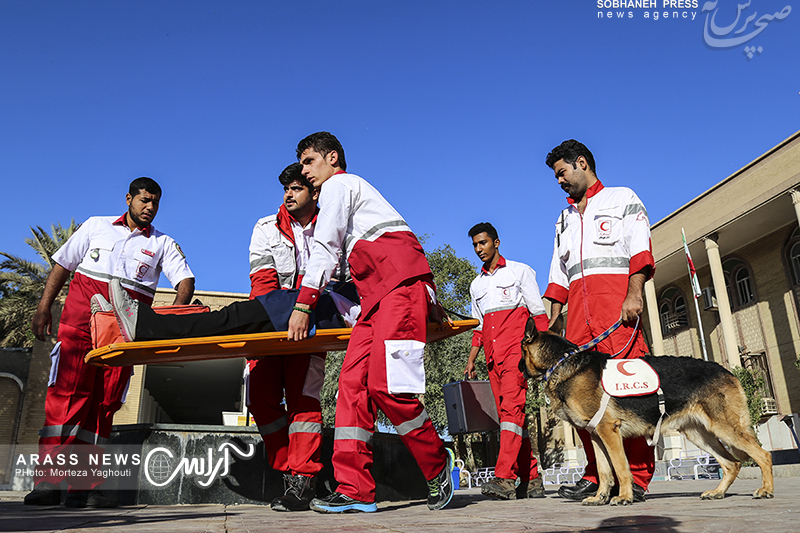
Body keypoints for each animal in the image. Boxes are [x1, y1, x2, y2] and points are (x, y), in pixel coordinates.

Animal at [520, 318, 776, 504]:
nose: (518, 369)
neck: (561, 361)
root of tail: (728, 372)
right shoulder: (596, 436)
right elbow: (604, 471)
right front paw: (600, 498)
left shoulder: (609, 432)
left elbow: (621, 468)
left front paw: (624, 497)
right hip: (699, 434)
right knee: (732, 464)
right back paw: (717, 492)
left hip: (725, 429)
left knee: (763, 455)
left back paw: (765, 490)